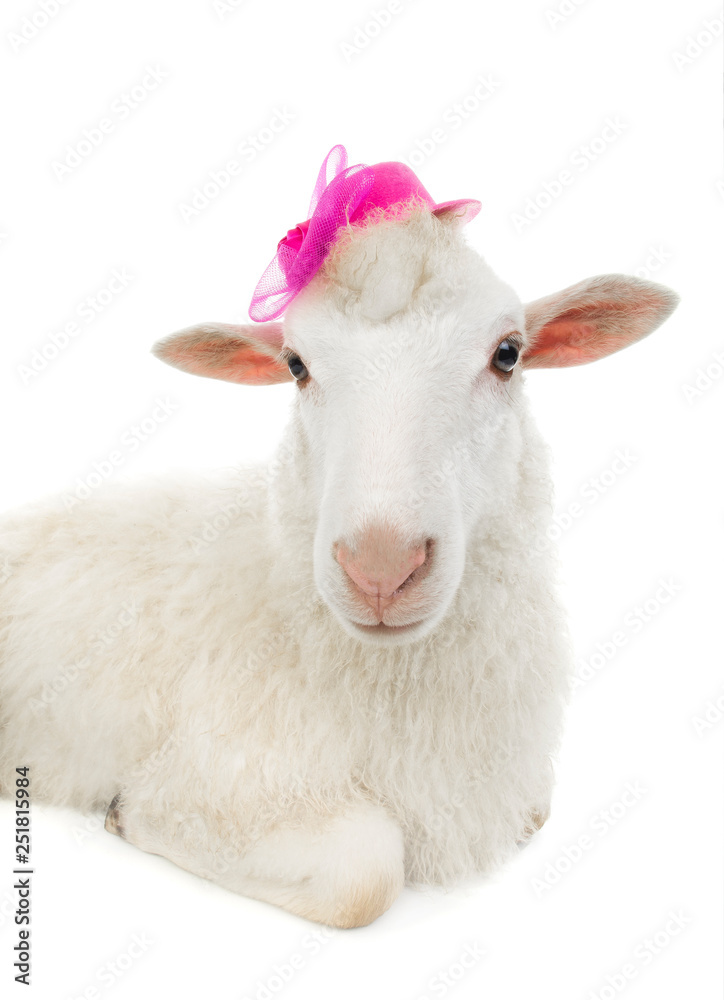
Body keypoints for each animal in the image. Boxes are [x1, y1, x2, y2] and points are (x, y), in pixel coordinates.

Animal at [0, 148, 678, 928]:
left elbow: (533, 812)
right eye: (296, 366)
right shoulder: (231, 763)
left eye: (508, 354)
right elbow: (364, 874)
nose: (381, 566)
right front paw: (128, 815)